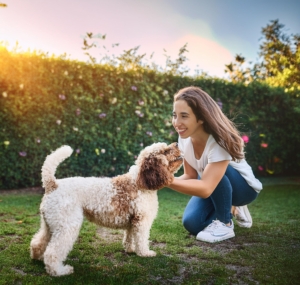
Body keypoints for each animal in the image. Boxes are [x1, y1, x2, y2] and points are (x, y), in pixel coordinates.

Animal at [29, 142, 183, 276]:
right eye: (164, 151)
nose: (177, 143)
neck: (141, 182)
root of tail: (53, 184)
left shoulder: (132, 222)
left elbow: (129, 238)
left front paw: (130, 250)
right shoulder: (142, 222)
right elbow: (142, 240)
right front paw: (145, 253)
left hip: (50, 225)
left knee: (38, 242)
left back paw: (37, 257)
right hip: (67, 226)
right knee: (52, 252)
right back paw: (60, 271)